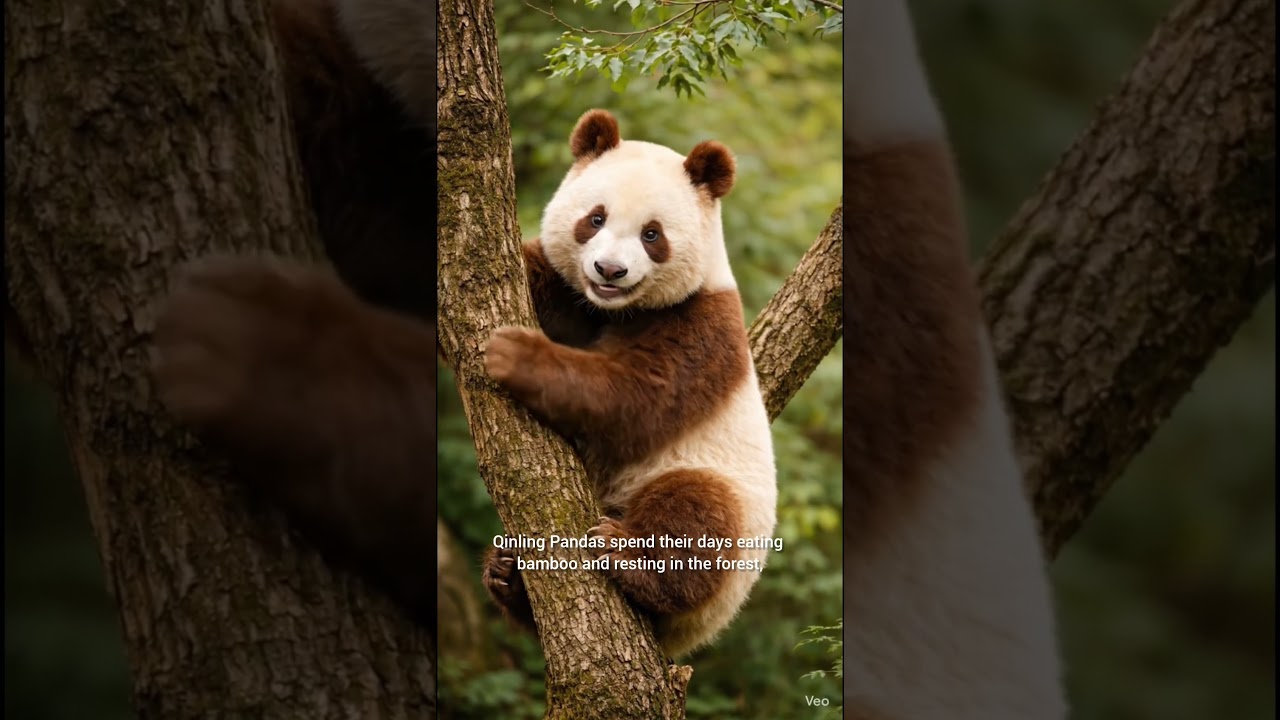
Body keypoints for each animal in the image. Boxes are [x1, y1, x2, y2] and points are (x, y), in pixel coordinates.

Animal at [480, 109, 778, 658]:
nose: (609, 270)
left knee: (695, 513)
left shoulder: (704, 328)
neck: (616, 309)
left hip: (724, 506)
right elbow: (538, 270)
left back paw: (623, 556)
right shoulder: (568, 293)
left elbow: (637, 397)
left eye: (652, 234)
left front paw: (514, 354)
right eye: (595, 218)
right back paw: (507, 573)